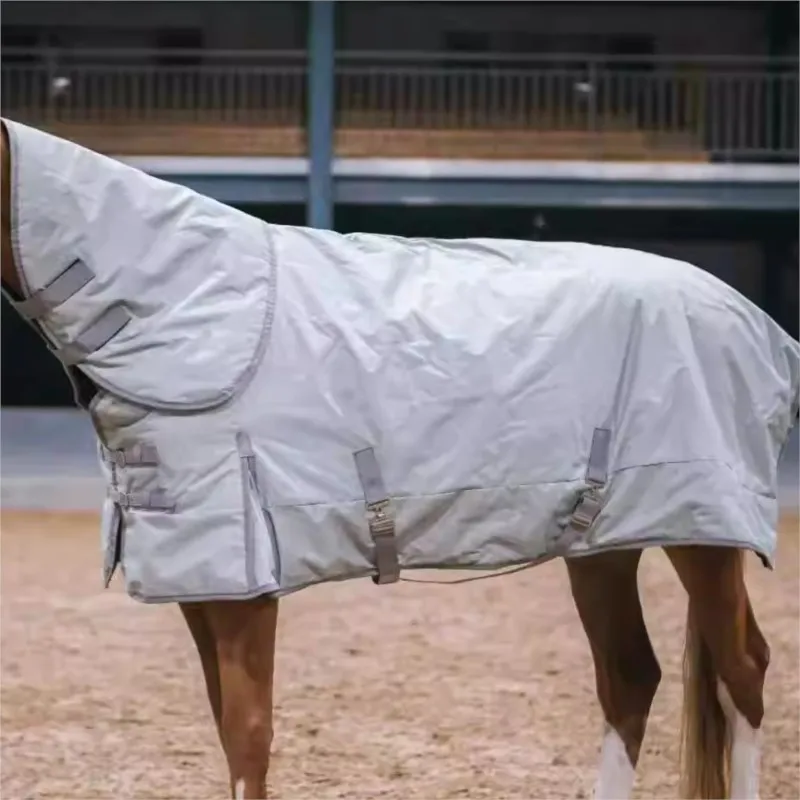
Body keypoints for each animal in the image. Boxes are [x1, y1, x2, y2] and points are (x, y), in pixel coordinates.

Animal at [1, 118, 795, 800]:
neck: (189, 307)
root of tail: (757, 324)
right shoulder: (204, 582)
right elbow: (228, 729)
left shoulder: (245, 587)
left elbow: (249, 736)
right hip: (604, 542)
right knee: (630, 677)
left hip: (703, 534)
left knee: (743, 673)